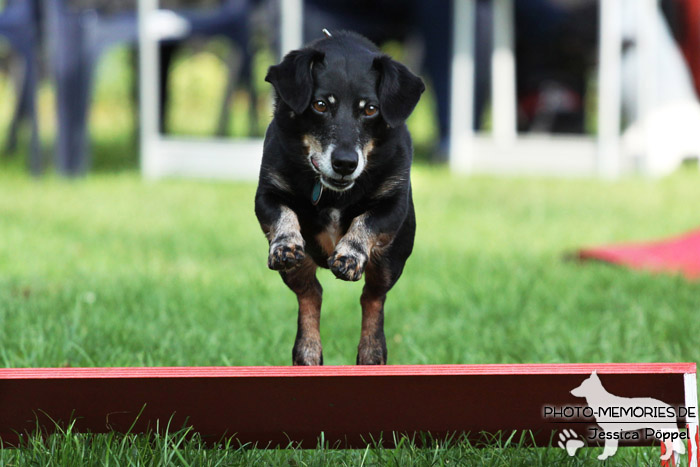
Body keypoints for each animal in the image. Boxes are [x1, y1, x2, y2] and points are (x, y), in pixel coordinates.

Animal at [256, 31, 424, 368]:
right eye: (320, 104)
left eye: (371, 109)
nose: (345, 163)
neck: (333, 192)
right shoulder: (266, 193)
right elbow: (283, 213)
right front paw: (285, 244)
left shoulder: (392, 205)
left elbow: (365, 221)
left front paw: (349, 255)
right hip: (296, 272)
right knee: (311, 295)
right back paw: (308, 351)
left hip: (390, 262)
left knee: (372, 298)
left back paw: (371, 351)